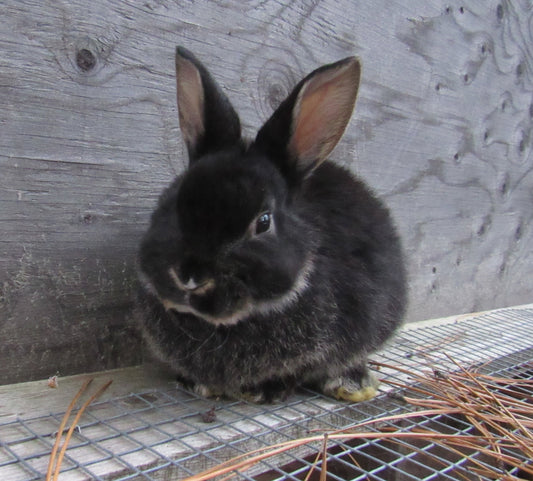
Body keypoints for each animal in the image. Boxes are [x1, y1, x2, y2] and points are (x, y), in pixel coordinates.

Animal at [135, 47, 406, 402]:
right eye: (172, 199)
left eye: (263, 222)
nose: (191, 277)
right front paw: (200, 384)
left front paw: (264, 390)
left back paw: (352, 383)